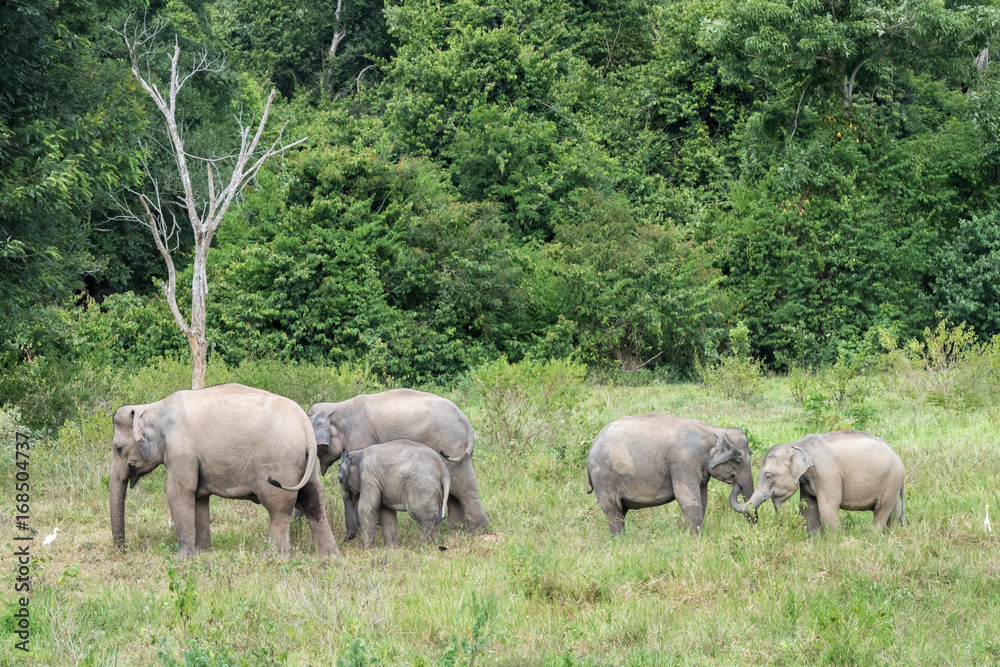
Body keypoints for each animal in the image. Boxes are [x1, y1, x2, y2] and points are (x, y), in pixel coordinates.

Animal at [110, 383, 339, 558]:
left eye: (118, 448)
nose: (123, 551)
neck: (154, 407)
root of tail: (304, 423)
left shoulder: (180, 450)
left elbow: (179, 492)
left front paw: (182, 558)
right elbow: (199, 497)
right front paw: (202, 552)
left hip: (280, 464)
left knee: (279, 509)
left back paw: (274, 558)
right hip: (307, 464)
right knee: (313, 502)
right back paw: (329, 557)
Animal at [307, 389, 489, 530]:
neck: (336, 406)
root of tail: (465, 421)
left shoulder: (360, 437)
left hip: (450, 445)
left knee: (464, 488)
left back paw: (479, 530)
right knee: (454, 492)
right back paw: (457, 529)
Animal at [586, 414, 756, 535]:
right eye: (738, 461)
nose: (753, 529)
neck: (713, 431)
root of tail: (594, 443)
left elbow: (703, 498)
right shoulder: (683, 461)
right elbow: (688, 498)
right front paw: (693, 539)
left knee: (621, 511)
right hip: (604, 475)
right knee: (613, 509)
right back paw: (619, 541)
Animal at [744, 430, 905, 535]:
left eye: (769, 476)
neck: (796, 445)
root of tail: (894, 451)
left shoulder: (827, 474)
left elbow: (827, 506)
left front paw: (835, 541)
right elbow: (809, 507)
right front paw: (813, 540)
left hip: (892, 477)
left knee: (881, 509)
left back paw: (874, 536)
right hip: (893, 481)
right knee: (893, 509)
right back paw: (893, 533)